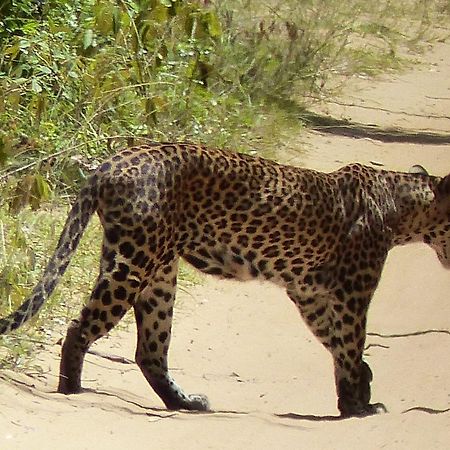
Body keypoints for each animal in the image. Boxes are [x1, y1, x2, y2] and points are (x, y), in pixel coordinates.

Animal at [0, 142, 448, 416]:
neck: (404, 205)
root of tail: (111, 162)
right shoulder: (351, 292)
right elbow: (350, 344)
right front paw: (359, 405)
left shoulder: (310, 294)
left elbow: (338, 346)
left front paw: (357, 391)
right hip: (134, 261)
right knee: (80, 327)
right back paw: (71, 389)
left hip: (160, 273)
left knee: (150, 351)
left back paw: (184, 403)